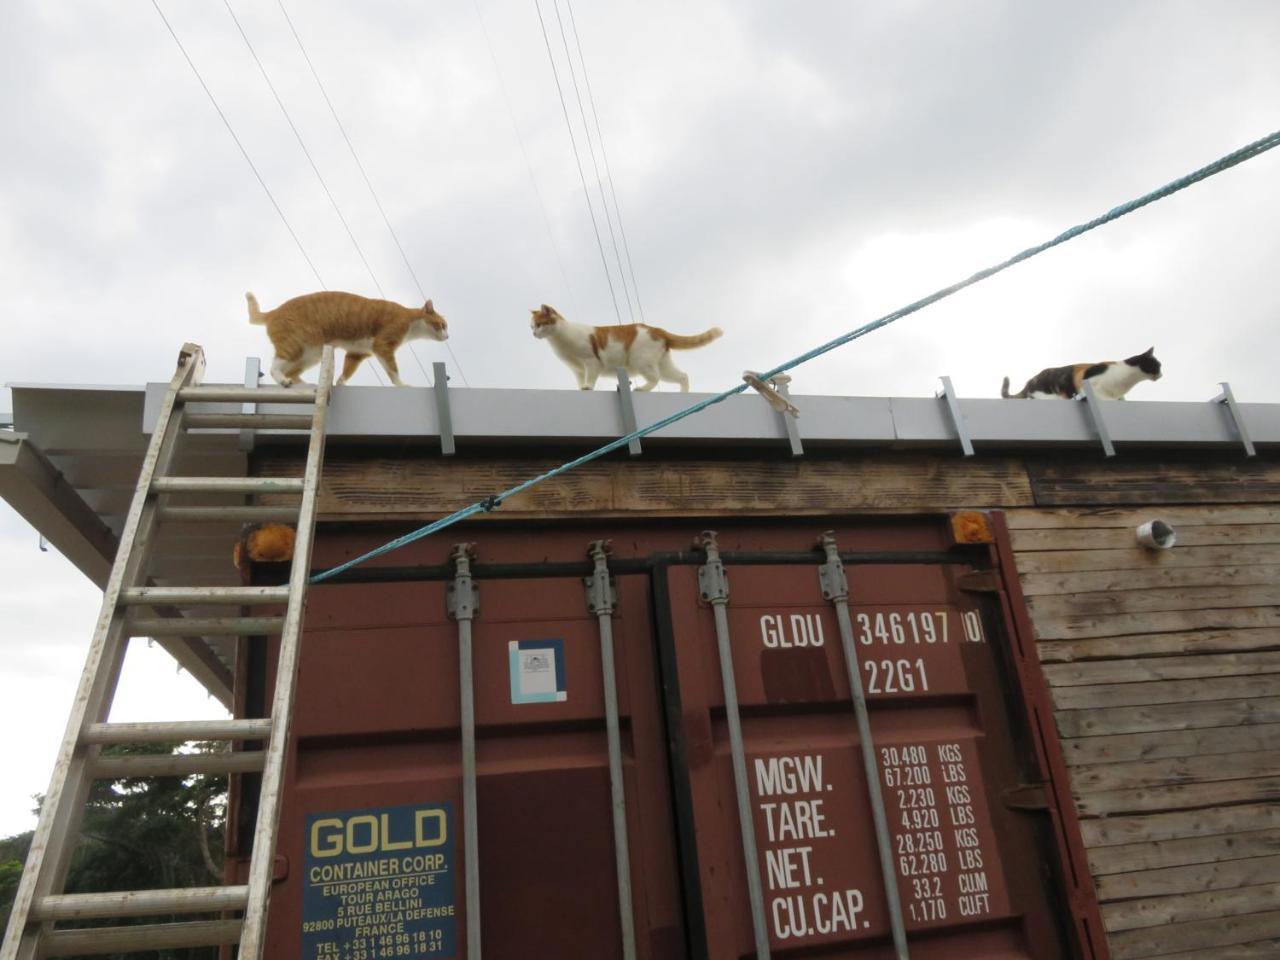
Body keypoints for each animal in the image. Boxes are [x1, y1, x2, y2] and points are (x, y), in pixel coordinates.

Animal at [245, 289, 450, 386]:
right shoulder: (383, 346)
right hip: (295, 346)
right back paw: (283, 380)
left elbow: (347, 372)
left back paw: (306, 384)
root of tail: (272, 312)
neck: (409, 319)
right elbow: (393, 371)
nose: (448, 336)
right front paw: (402, 385)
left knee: (293, 372)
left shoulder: (357, 353)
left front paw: (340, 383)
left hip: (312, 354)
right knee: (275, 368)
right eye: (442, 325)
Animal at [529, 302, 721, 389]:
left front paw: (588, 387)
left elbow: (591, 379)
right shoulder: (577, 369)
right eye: (531, 326)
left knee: (655, 378)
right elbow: (580, 381)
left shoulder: (591, 363)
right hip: (663, 364)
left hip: (641, 360)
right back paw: (683, 394)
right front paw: (582, 388)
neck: (559, 341)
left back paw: (640, 389)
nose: (533, 334)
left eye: (539, 325)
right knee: (683, 376)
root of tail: (657, 329)